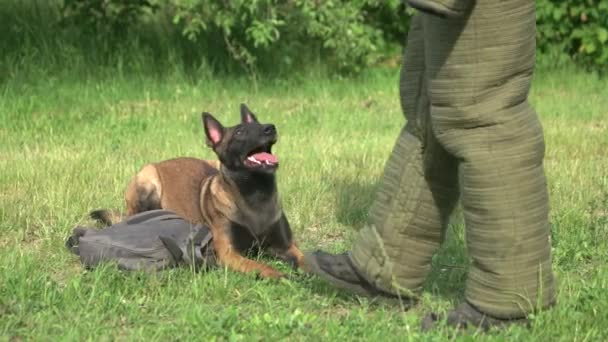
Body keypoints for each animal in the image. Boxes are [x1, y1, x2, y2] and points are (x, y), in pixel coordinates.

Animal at [91, 103, 306, 278]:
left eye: (260, 124)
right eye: (239, 133)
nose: (270, 128)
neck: (256, 195)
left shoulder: (287, 246)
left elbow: (306, 260)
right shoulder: (229, 254)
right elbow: (260, 266)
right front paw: (281, 276)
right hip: (148, 177)